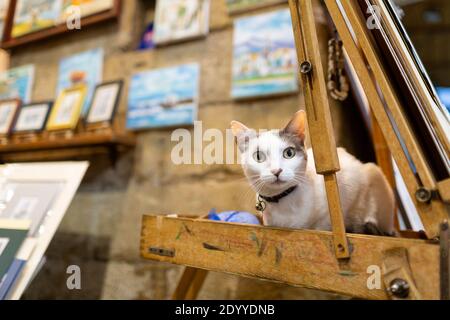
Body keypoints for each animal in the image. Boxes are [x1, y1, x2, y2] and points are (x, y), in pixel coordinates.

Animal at [230, 110, 396, 235]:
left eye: (288, 153)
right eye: (258, 156)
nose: (276, 171)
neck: (282, 200)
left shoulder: (329, 213)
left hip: (373, 174)